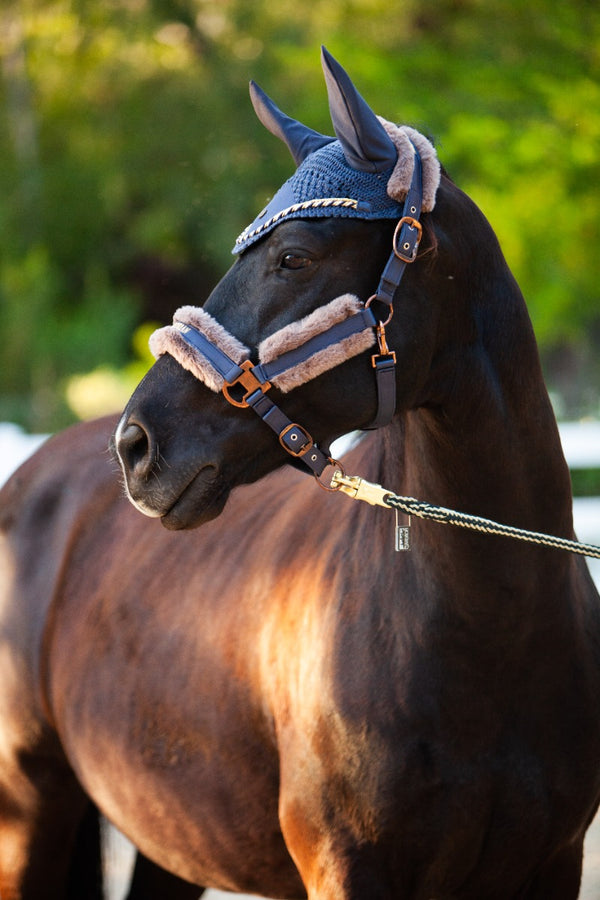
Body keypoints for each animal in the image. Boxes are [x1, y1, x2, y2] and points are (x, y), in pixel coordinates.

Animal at [1, 47, 600, 900]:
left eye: (295, 256)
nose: (136, 445)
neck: (495, 632)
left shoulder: (553, 864)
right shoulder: (346, 870)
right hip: (26, 813)